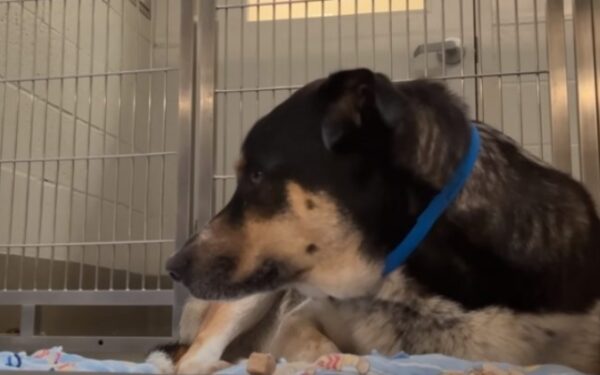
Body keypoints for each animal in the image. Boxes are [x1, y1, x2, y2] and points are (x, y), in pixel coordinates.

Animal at [148, 69, 600, 374]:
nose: (172, 266)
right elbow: (320, 348)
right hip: (253, 294)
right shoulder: (298, 318)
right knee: (193, 359)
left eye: (257, 175)